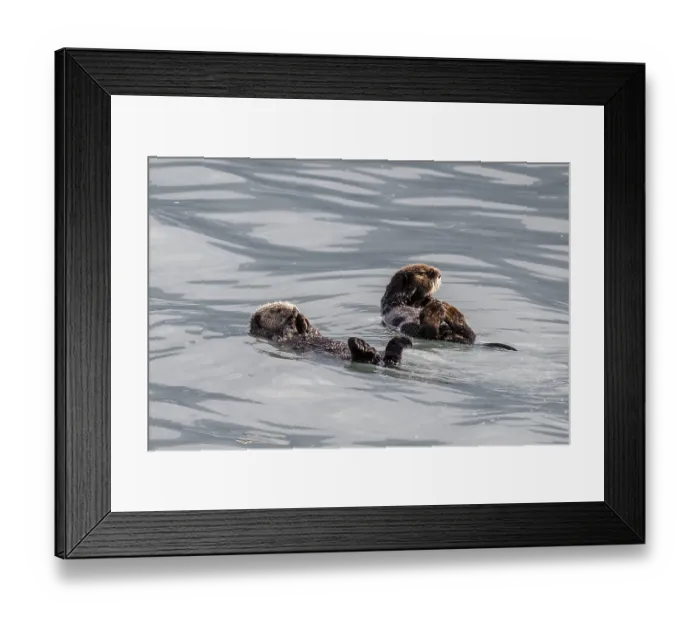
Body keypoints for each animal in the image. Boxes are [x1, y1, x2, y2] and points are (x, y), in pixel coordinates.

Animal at [250, 301, 413, 366]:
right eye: (276, 310)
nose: (294, 309)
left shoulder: (312, 332)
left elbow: (312, 330)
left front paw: (303, 320)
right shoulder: (278, 336)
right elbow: (286, 331)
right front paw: (293, 319)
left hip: (384, 356)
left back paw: (401, 342)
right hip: (361, 357)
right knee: (366, 357)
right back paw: (361, 345)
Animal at [380, 264, 517, 351]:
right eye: (422, 272)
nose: (439, 274)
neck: (414, 303)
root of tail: (447, 336)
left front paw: (431, 299)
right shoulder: (394, 300)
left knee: (471, 335)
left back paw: (448, 310)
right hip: (408, 327)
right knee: (428, 332)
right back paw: (436, 311)